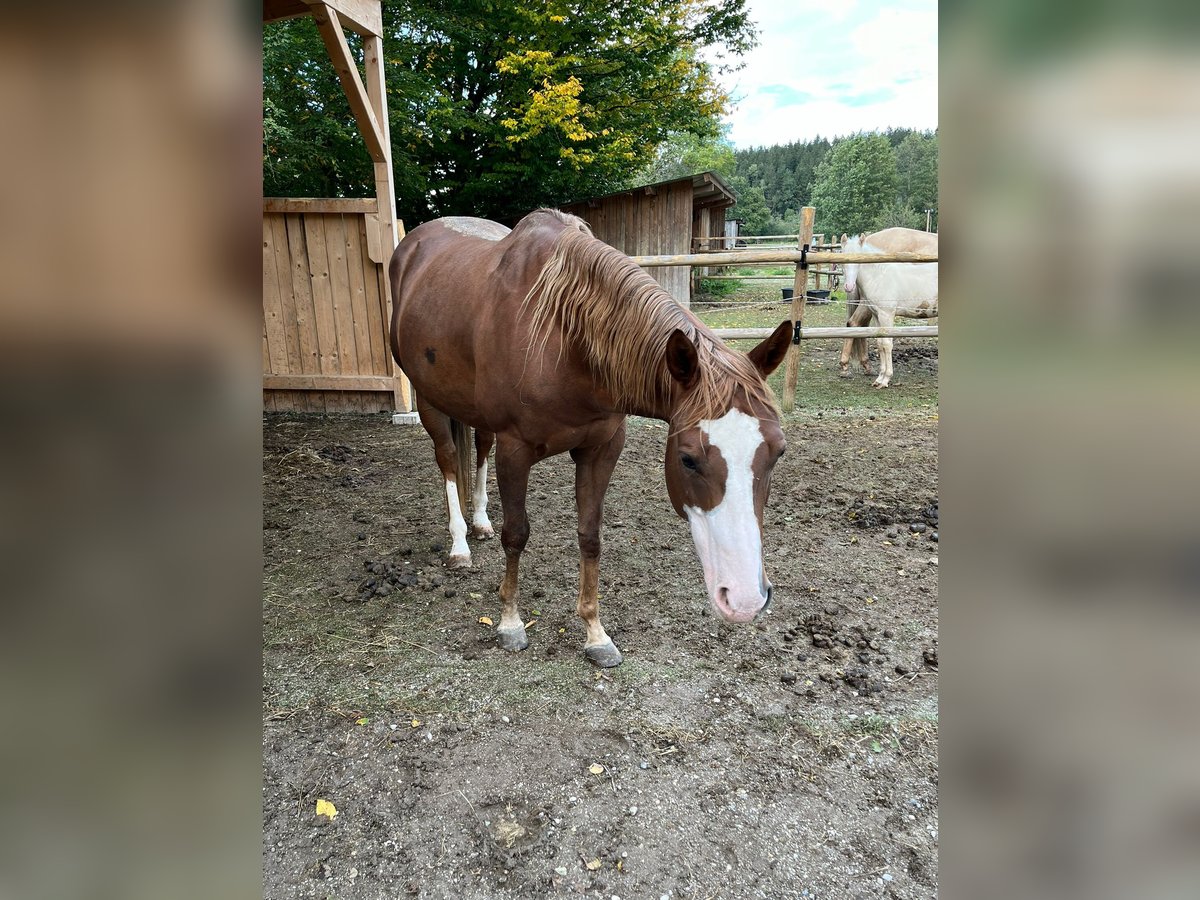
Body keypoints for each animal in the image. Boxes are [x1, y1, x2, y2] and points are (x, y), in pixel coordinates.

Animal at [388, 207, 792, 667]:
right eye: (688, 458)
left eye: (778, 452)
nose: (744, 600)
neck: (563, 337)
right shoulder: (516, 450)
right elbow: (517, 534)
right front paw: (510, 623)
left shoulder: (601, 449)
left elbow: (590, 536)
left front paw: (595, 632)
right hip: (429, 400)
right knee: (447, 461)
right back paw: (459, 543)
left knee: (478, 449)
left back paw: (480, 522)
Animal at [840, 225, 940, 388]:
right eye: (842, 258)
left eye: (860, 259)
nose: (849, 286)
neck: (880, 276)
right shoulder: (877, 315)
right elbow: (880, 343)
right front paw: (879, 378)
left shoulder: (887, 315)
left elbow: (887, 344)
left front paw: (886, 379)